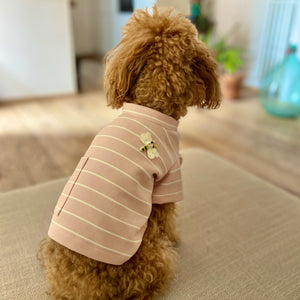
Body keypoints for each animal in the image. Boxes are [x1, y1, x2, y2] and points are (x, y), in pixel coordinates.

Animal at [37, 5, 220, 300]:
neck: (152, 104)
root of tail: (81, 288)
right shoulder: (167, 181)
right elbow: (167, 219)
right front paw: (175, 237)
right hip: (152, 256)